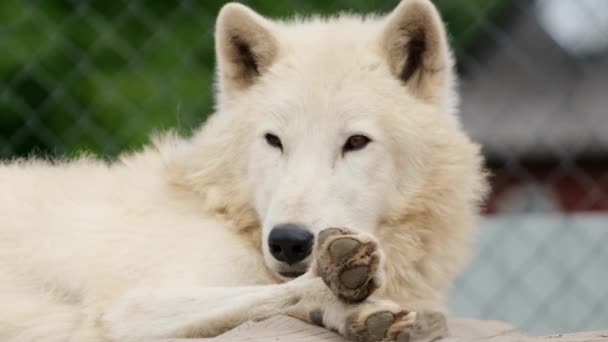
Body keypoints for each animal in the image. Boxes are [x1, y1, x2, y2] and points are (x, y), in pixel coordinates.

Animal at [0, 0, 484, 342]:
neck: (225, 213)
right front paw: (347, 300)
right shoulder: (129, 308)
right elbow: (284, 292)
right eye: (274, 140)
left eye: (355, 142)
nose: (288, 242)